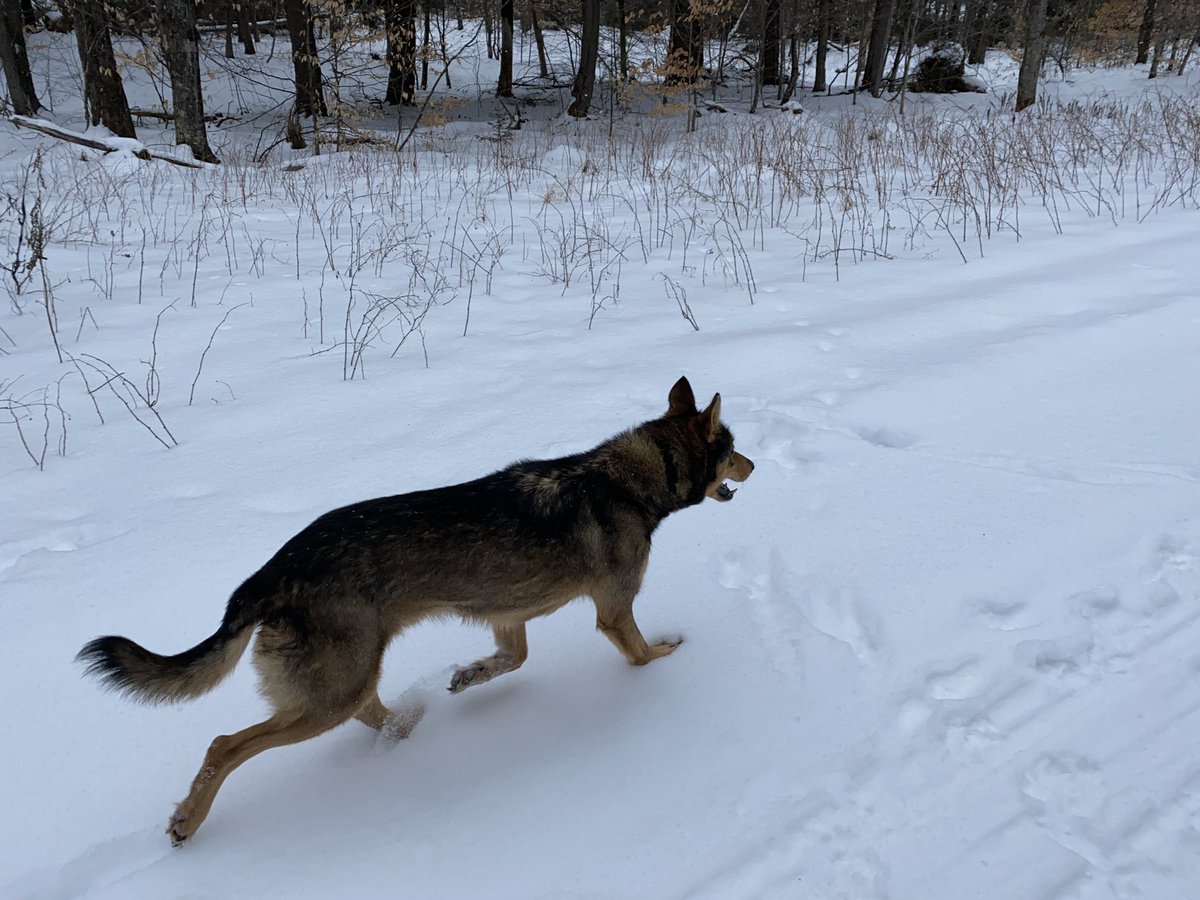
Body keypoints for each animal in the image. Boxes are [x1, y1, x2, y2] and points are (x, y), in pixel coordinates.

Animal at [77, 374, 748, 844]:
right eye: (734, 447)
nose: (756, 463)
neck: (634, 478)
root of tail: (268, 574)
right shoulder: (613, 609)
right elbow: (640, 657)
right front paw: (668, 653)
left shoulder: (507, 617)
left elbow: (512, 661)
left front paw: (466, 677)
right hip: (330, 692)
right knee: (225, 744)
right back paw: (188, 821)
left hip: (351, 674)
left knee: (371, 712)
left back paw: (412, 723)